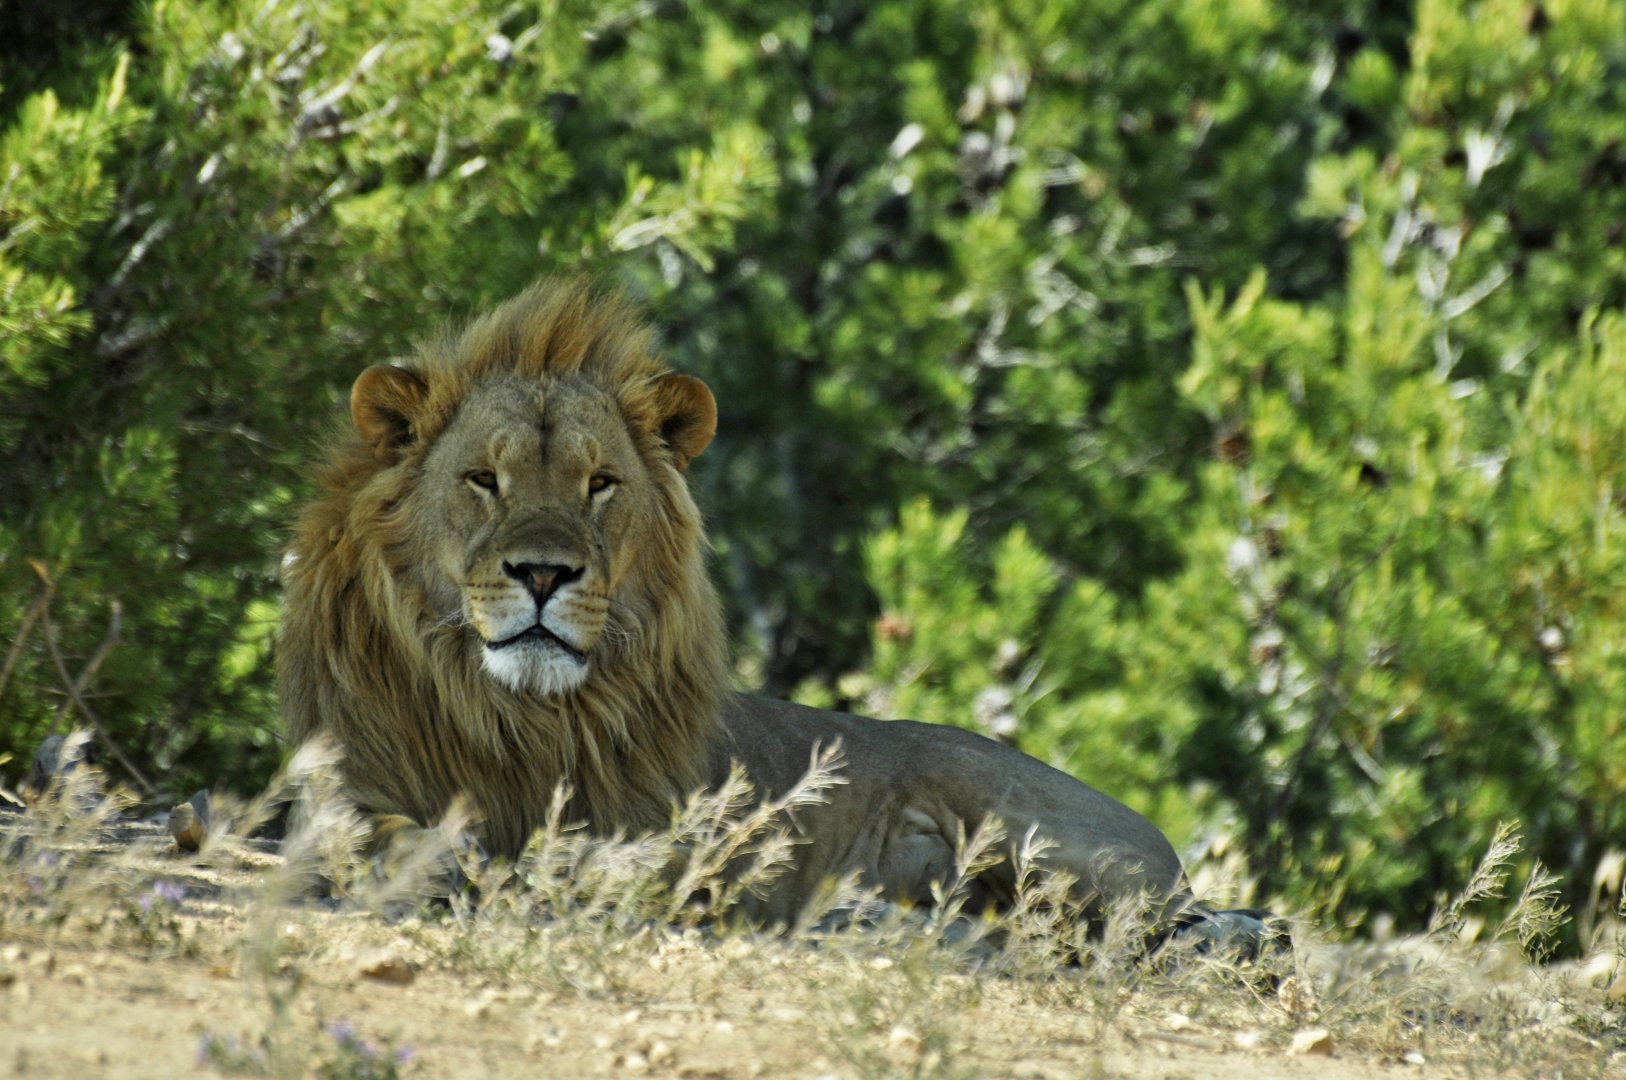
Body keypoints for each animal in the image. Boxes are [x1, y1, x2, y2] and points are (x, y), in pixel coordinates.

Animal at [278, 280, 1270, 947]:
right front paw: (452, 859)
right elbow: (372, 838)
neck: (513, 713)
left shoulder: (670, 828)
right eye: (483, 479)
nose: (544, 573)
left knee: (1169, 917)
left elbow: (605, 859)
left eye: (601, 485)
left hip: (1041, 832)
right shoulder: (346, 789)